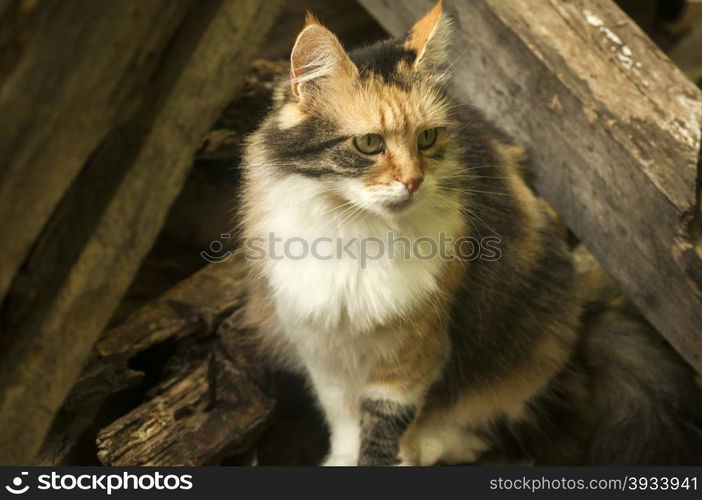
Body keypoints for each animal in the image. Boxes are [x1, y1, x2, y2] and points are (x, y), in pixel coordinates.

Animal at [238, 1, 702, 466]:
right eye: (369, 144)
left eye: (427, 138)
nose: (413, 182)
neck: (358, 233)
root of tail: (583, 319)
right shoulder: (321, 348)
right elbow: (344, 421)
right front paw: (342, 459)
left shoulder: (412, 356)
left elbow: (385, 429)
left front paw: (393, 455)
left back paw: (434, 445)